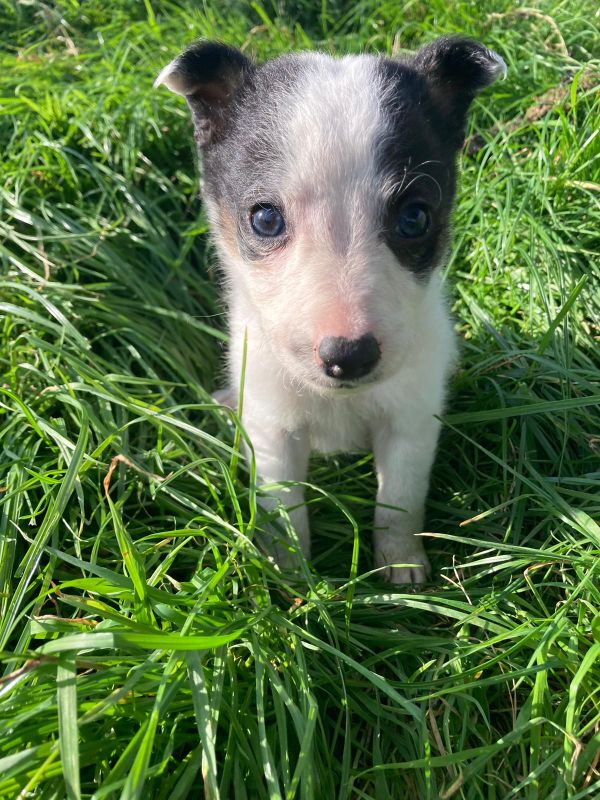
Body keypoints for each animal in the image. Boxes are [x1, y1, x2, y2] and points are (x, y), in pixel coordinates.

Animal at [156, 34, 506, 584]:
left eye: (414, 218)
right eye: (265, 219)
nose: (349, 356)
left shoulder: (411, 418)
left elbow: (399, 501)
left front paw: (402, 566)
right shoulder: (272, 427)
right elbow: (284, 509)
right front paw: (290, 575)